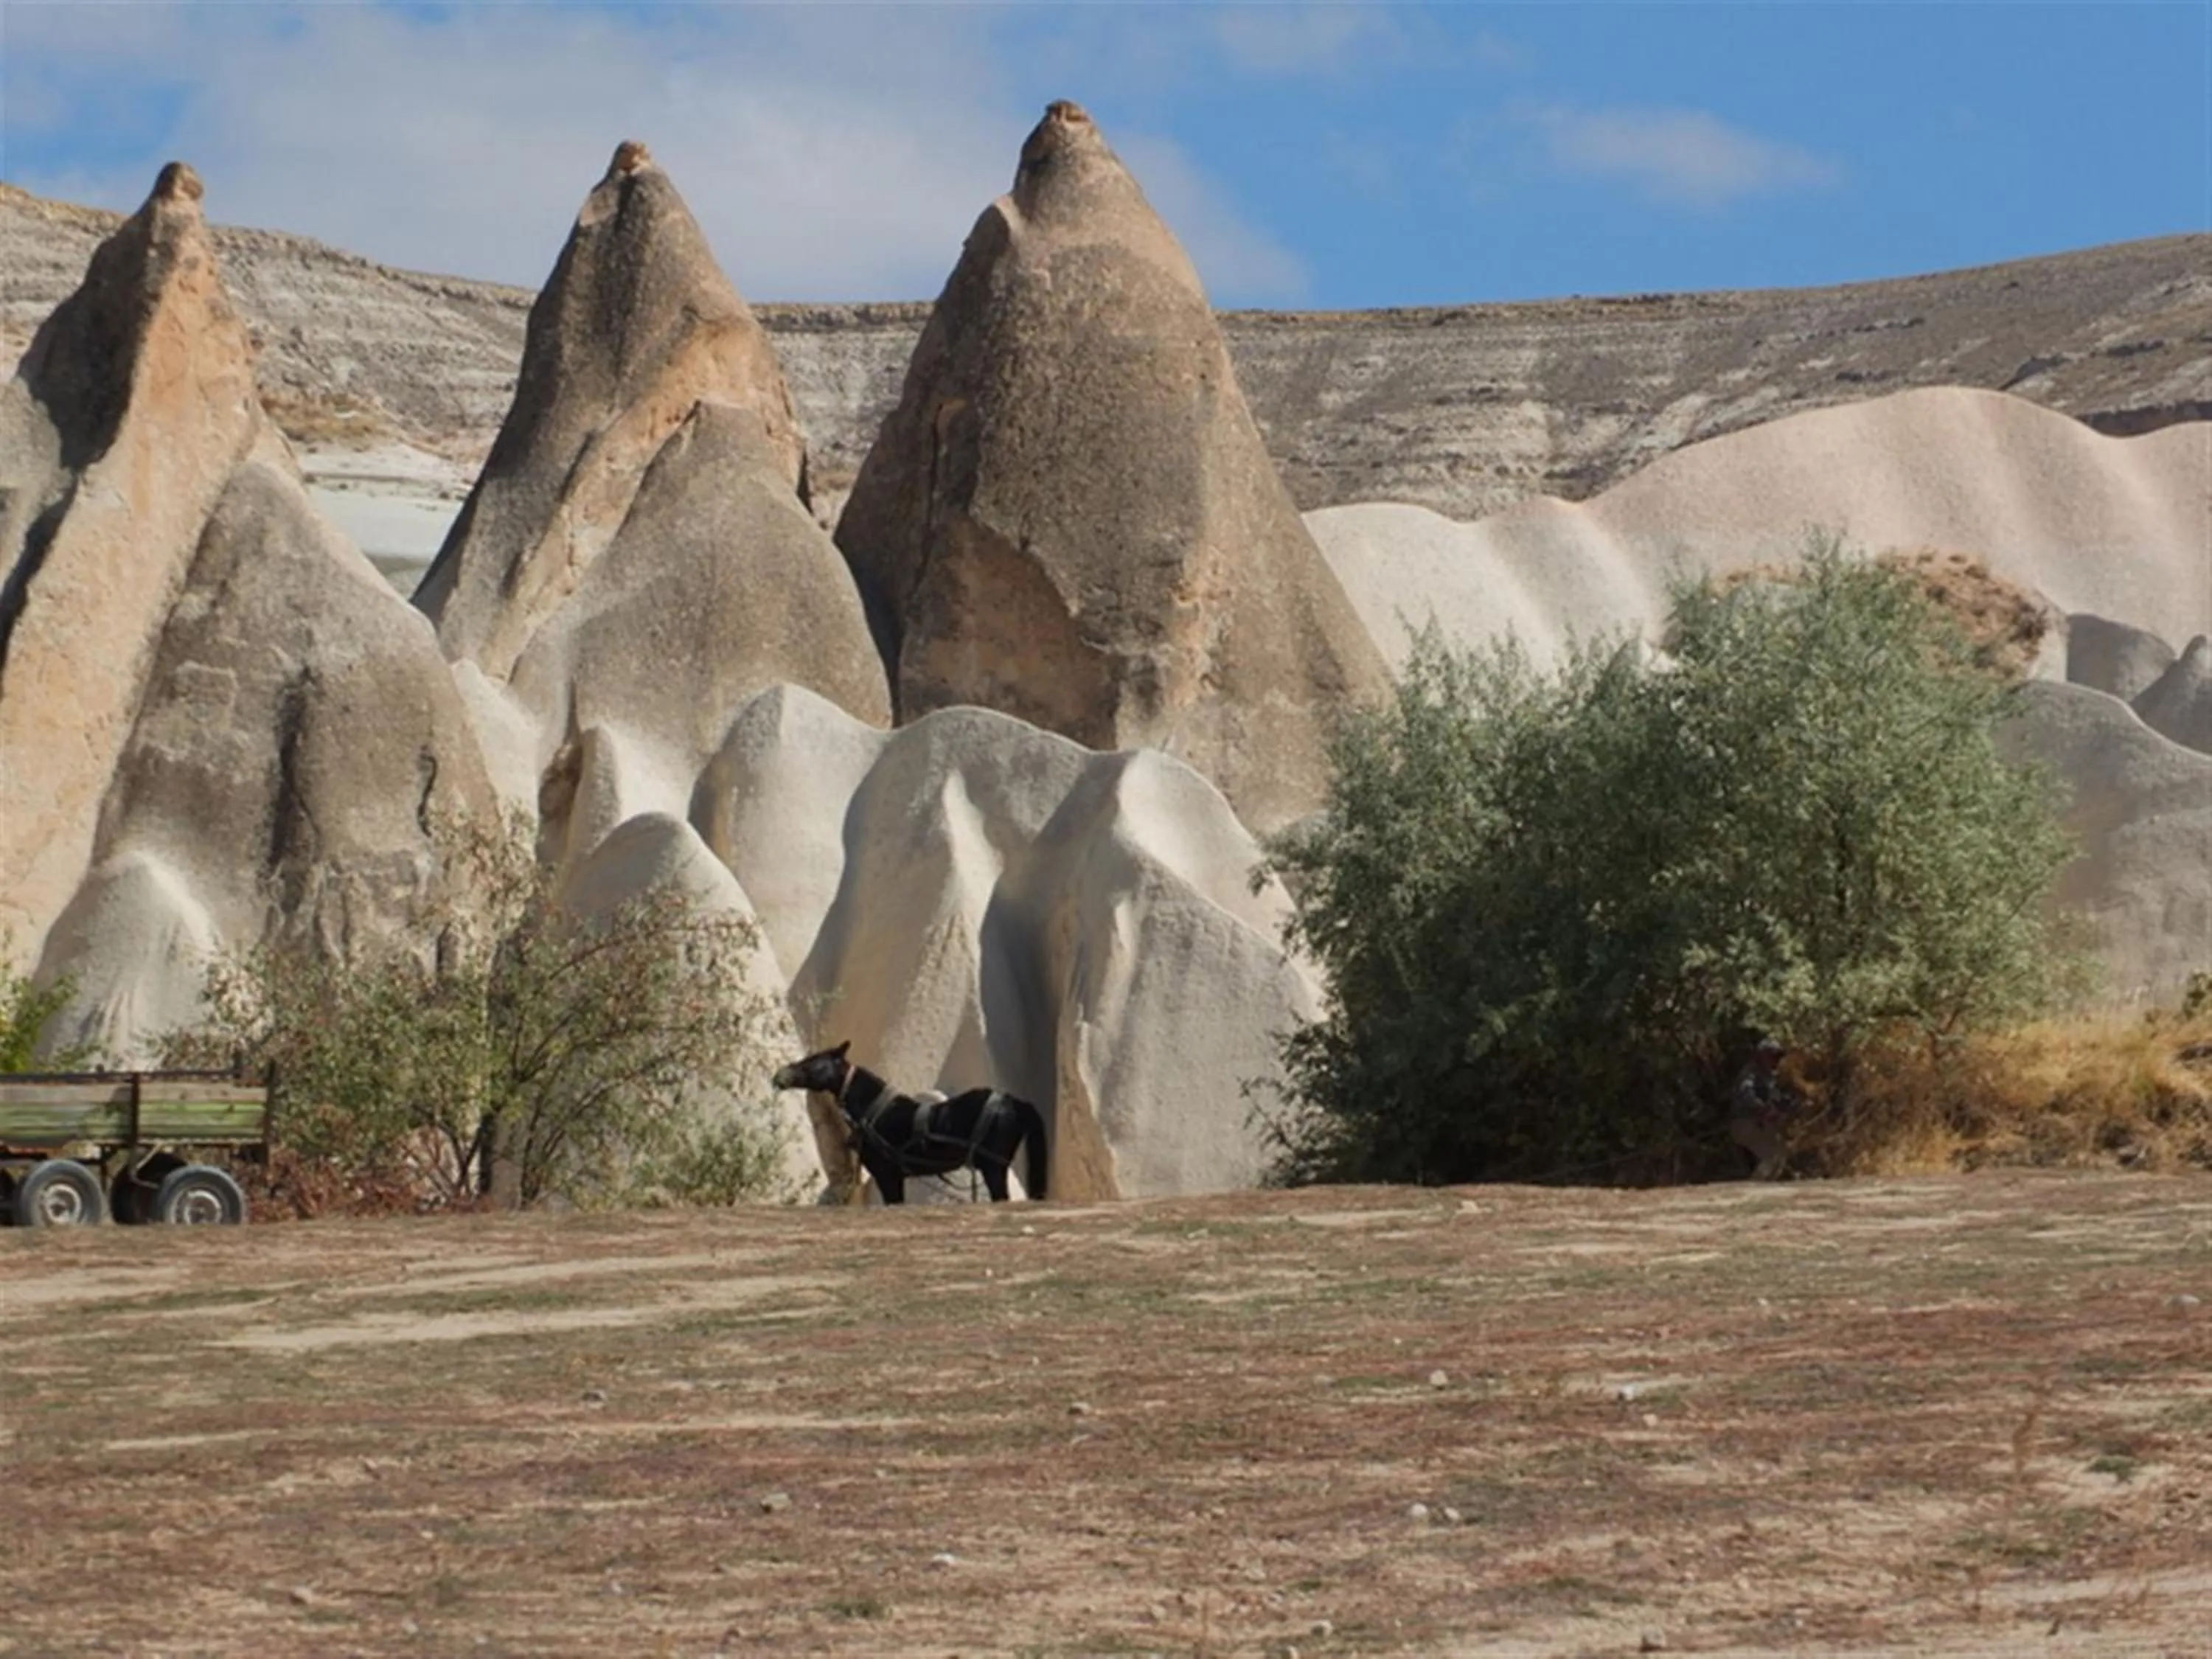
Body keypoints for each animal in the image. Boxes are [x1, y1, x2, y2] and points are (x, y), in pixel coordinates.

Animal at [771, 1041, 1048, 1205]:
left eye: (813, 1062)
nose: (779, 1077)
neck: (876, 1110)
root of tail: (1014, 1102)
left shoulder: (887, 1175)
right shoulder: (894, 1177)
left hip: (994, 1167)